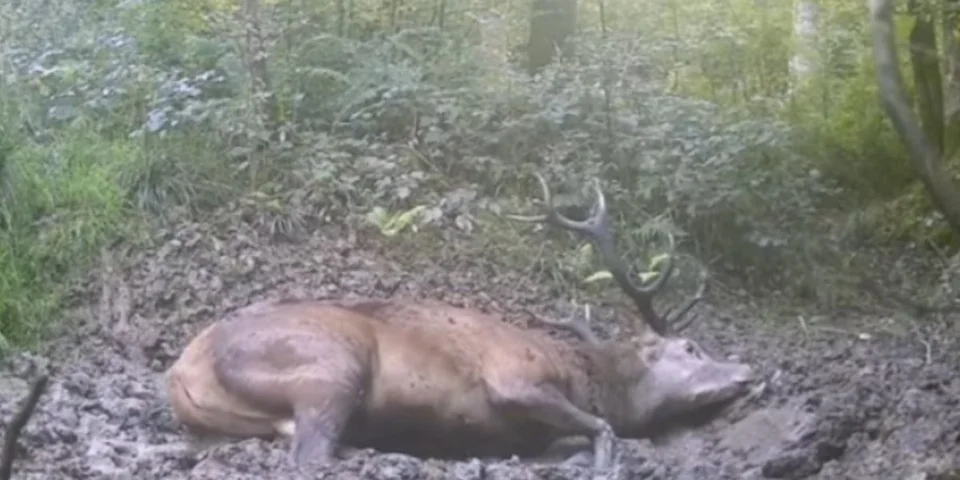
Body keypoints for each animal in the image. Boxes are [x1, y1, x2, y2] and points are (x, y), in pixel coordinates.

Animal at [164, 173, 754, 477]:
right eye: (691, 347)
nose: (748, 370)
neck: (588, 377)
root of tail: (181, 375)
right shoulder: (514, 377)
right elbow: (604, 430)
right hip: (331, 364)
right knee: (310, 454)